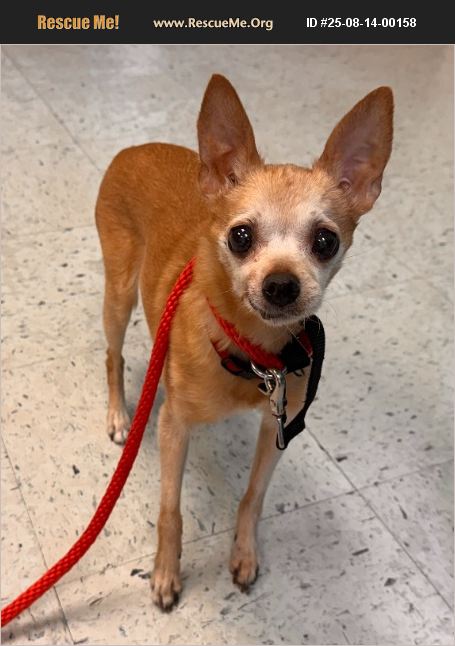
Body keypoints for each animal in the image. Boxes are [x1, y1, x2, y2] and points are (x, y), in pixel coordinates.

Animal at [95, 74, 393, 610]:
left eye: (325, 241)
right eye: (240, 236)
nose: (282, 285)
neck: (250, 350)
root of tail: (136, 147)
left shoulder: (278, 430)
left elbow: (253, 497)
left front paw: (244, 553)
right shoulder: (173, 425)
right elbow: (170, 511)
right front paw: (165, 572)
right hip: (119, 294)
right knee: (112, 354)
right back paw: (118, 415)